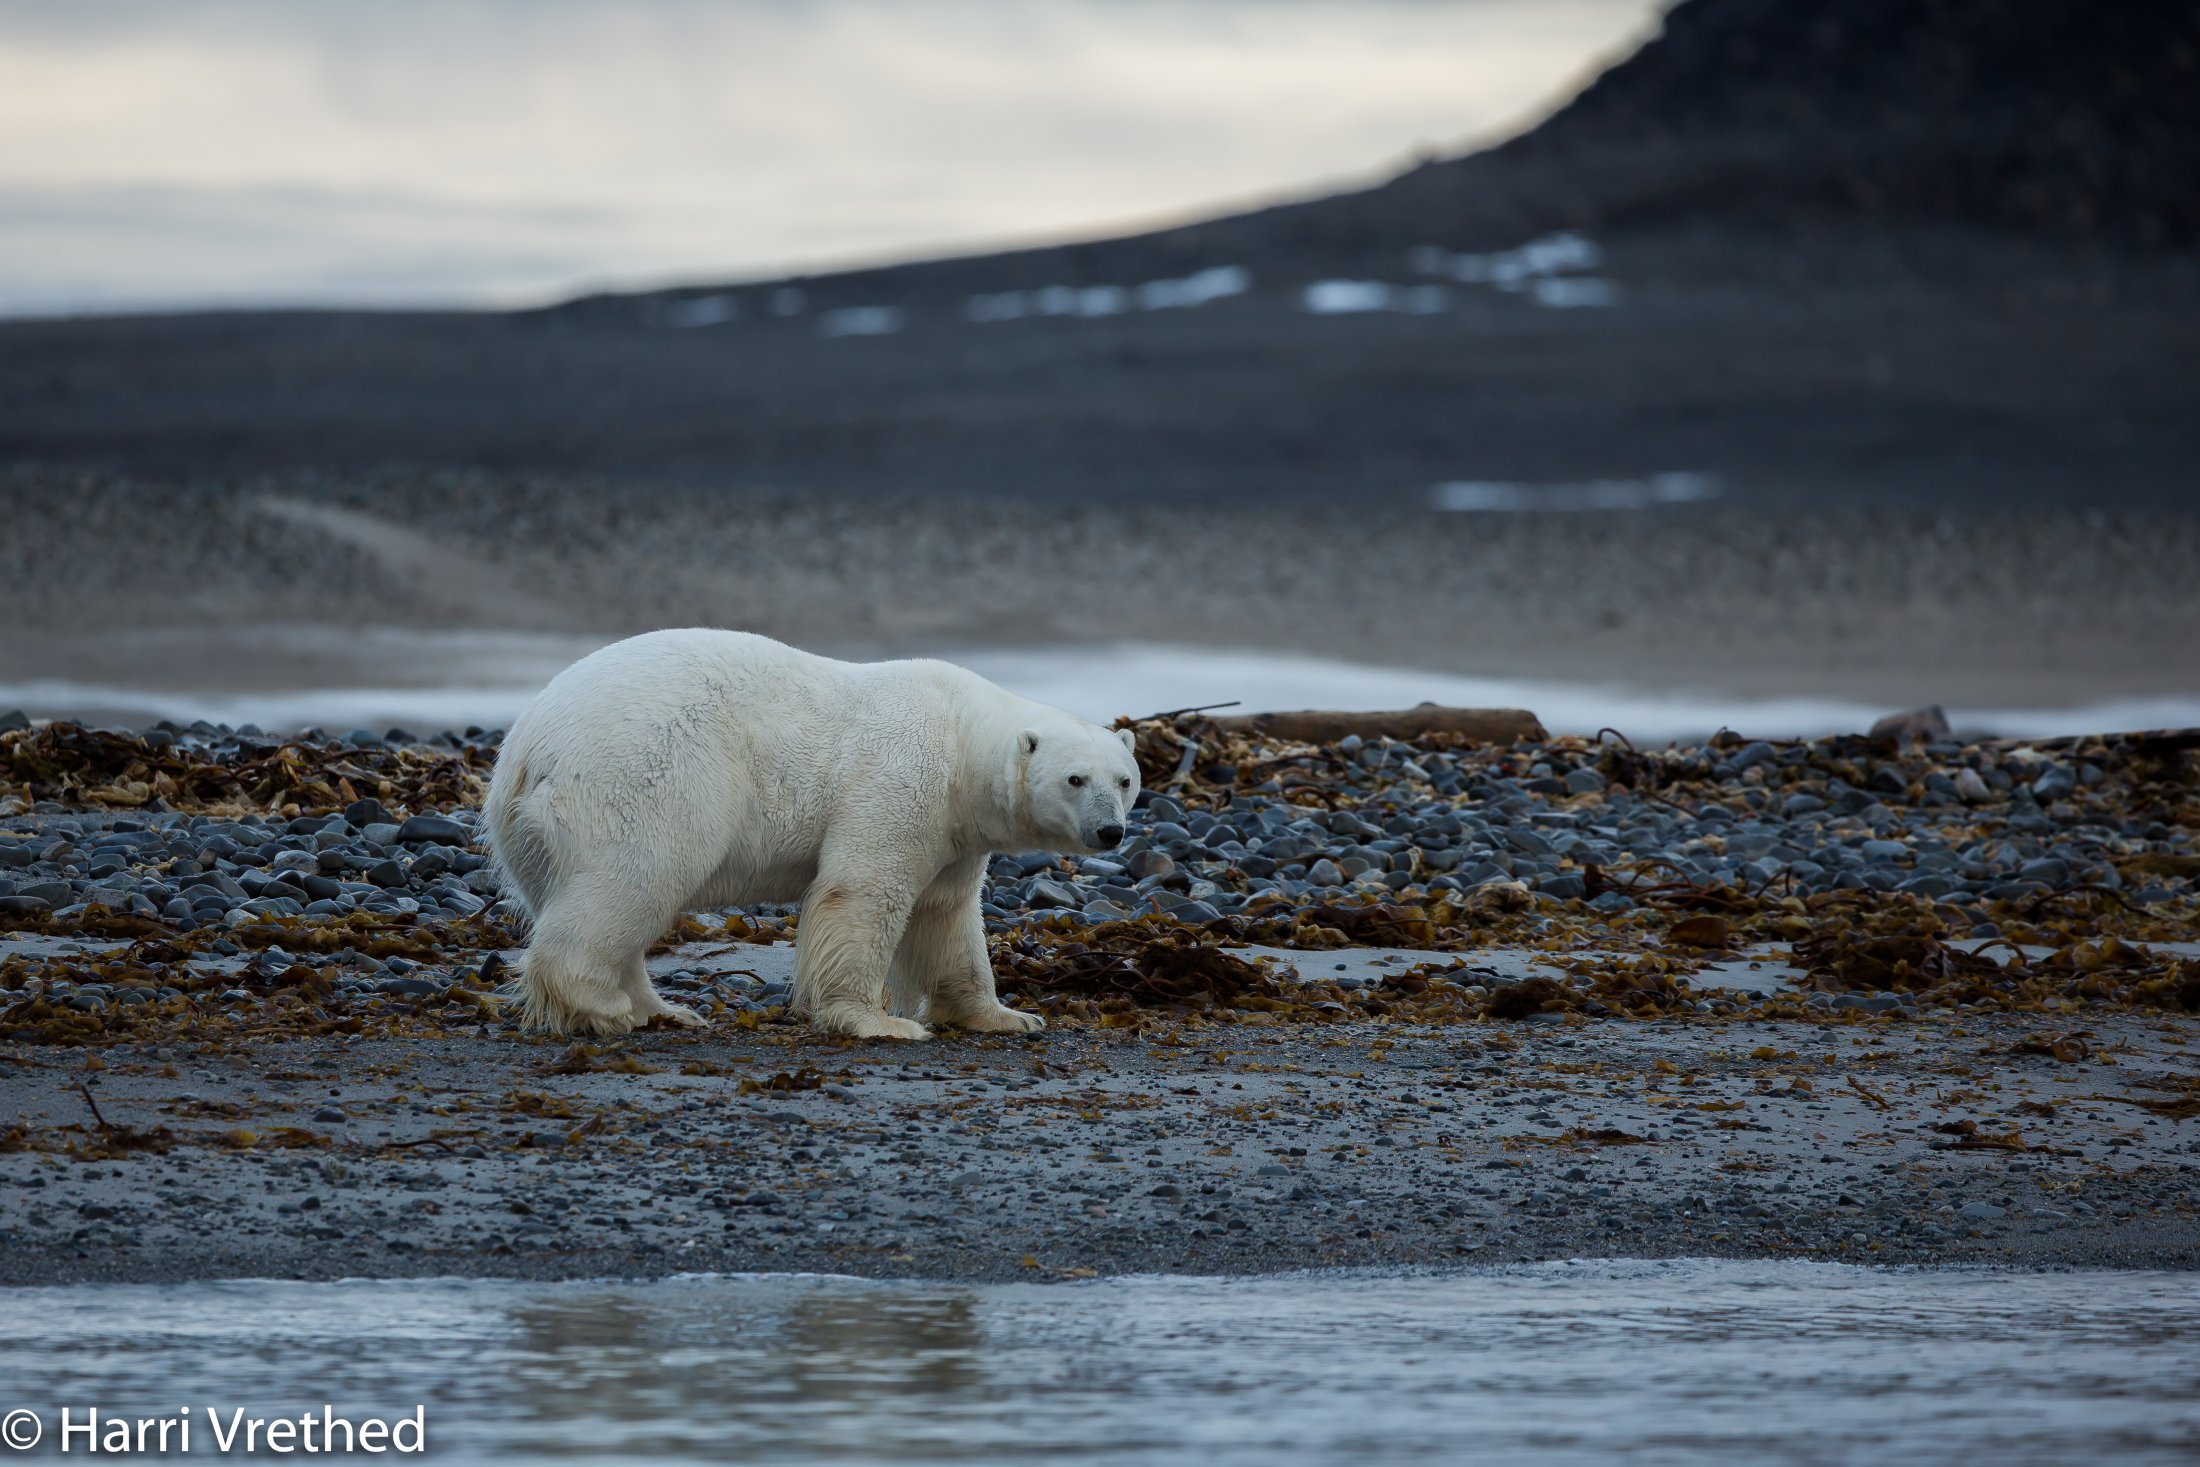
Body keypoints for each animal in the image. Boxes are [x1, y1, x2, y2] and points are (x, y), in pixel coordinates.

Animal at [479, 633, 1135, 1042]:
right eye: (1076, 778)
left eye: (1125, 780)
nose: (1110, 830)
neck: (961, 734)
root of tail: (530, 743)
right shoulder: (900, 776)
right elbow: (864, 890)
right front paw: (878, 1023)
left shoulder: (956, 831)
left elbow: (945, 917)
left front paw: (1006, 1017)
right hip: (648, 771)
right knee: (635, 876)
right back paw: (603, 1007)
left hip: (528, 832)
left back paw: (661, 1010)